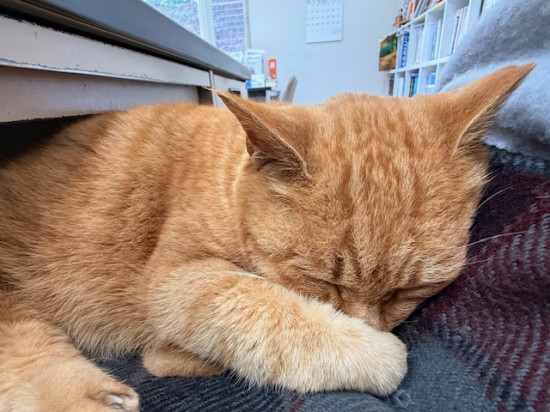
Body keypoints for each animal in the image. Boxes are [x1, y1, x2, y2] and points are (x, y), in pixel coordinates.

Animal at [0, 64, 533, 411]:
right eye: (324, 283)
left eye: (411, 290)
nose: (372, 327)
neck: (230, 184)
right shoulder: (175, 280)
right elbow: (268, 308)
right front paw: (374, 352)